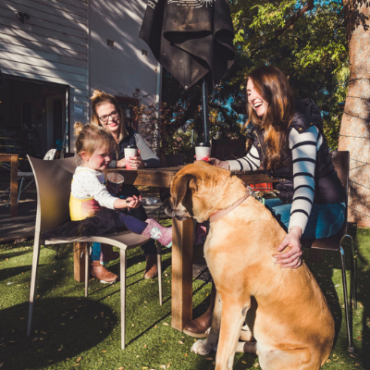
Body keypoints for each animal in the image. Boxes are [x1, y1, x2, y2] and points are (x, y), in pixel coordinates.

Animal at [165, 161, 336, 370]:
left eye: (172, 192)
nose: (163, 206)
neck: (226, 209)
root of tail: (324, 353)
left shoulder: (235, 302)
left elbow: (223, 354)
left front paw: (215, 350)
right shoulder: (223, 294)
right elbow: (216, 326)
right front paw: (207, 345)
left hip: (272, 359)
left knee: (256, 349)